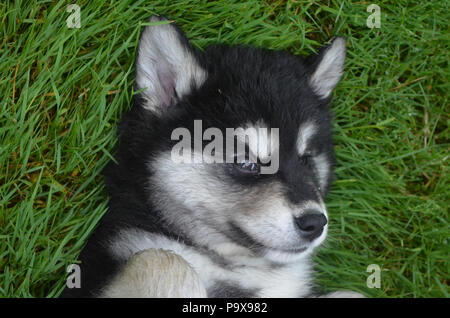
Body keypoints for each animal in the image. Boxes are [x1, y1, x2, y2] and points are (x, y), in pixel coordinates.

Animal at [60, 15, 362, 298]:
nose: (315, 222)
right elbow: (166, 261)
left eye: (307, 158)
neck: (232, 266)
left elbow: (353, 292)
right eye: (246, 162)